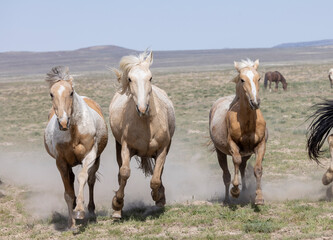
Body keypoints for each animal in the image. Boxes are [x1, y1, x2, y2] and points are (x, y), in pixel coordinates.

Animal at [43, 66, 107, 229]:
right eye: (51, 94)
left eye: (71, 92)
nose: (63, 122)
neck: (73, 132)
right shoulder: (61, 162)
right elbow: (68, 193)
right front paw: (71, 223)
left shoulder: (90, 156)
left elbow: (83, 177)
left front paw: (79, 211)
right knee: (71, 180)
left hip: (97, 159)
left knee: (91, 180)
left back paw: (91, 211)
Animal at [109, 51, 176, 219]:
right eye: (130, 79)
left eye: (150, 77)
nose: (142, 108)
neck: (146, 123)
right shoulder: (126, 147)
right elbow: (124, 173)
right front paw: (117, 204)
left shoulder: (162, 149)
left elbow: (155, 179)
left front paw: (158, 197)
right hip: (118, 146)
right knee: (120, 172)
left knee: (159, 173)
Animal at [208, 59, 268, 203]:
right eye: (242, 79)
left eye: (259, 78)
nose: (255, 102)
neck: (247, 124)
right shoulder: (233, 146)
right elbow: (236, 161)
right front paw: (235, 190)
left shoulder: (261, 145)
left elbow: (258, 169)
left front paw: (259, 197)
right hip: (220, 152)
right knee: (226, 174)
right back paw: (227, 198)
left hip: (246, 153)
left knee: (242, 168)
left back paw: (245, 190)